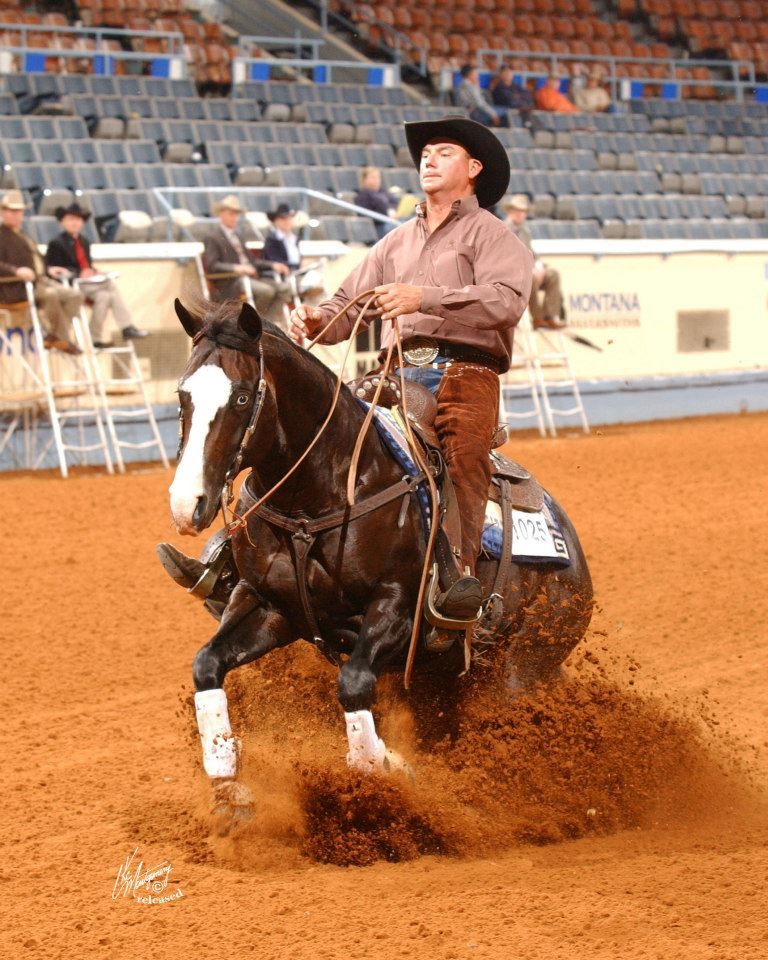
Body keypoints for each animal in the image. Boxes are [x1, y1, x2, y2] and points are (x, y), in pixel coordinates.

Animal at [168, 298, 594, 826]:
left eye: (244, 397)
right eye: (183, 395)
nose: (187, 504)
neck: (320, 496)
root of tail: (572, 551)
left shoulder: (398, 612)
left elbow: (353, 685)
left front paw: (386, 770)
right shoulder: (269, 607)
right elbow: (207, 664)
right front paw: (229, 788)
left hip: (520, 669)